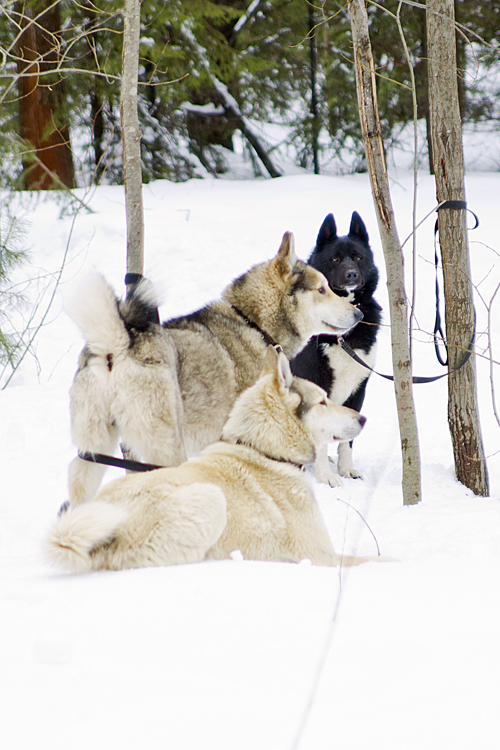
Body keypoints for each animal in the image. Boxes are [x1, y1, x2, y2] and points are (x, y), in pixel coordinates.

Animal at [47, 350, 382, 572]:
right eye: (324, 401)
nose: (364, 418)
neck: (264, 450)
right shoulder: (321, 555)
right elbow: (376, 558)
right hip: (211, 499)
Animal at [292, 210, 380, 488]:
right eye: (334, 258)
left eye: (358, 257)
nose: (351, 274)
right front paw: (326, 477)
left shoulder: (358, 388)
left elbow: (348, 439)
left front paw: (346, 470)